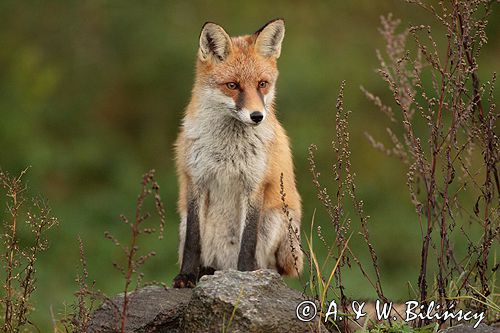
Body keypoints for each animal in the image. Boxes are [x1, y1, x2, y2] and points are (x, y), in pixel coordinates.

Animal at [174, 18, 302, 288]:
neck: (227, 150)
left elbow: (248, 241)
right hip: (182, 222)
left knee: (270, 265)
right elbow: (193, 240)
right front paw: (186, 276)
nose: (257, 116)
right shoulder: (196, 180)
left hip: (277, 220)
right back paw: (206, 271)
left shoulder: (254, 184)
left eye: (262, 84)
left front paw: (244, 276)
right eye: (232, 85)